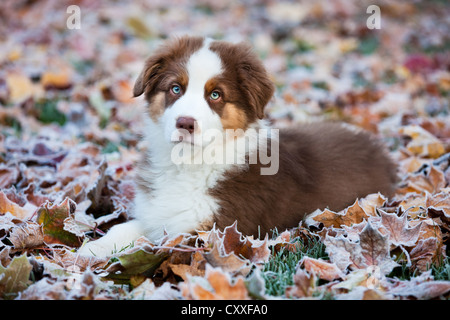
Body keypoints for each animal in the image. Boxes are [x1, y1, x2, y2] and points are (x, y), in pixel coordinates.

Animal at [79, 36, 396, 258]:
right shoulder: (159, 212)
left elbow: (158, 239)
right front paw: (93, 249)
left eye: (216, 95)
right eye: (175, 89)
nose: (185, 123)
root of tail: (376, 147)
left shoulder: (215, 228)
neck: (189, 162)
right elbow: (130, 226)